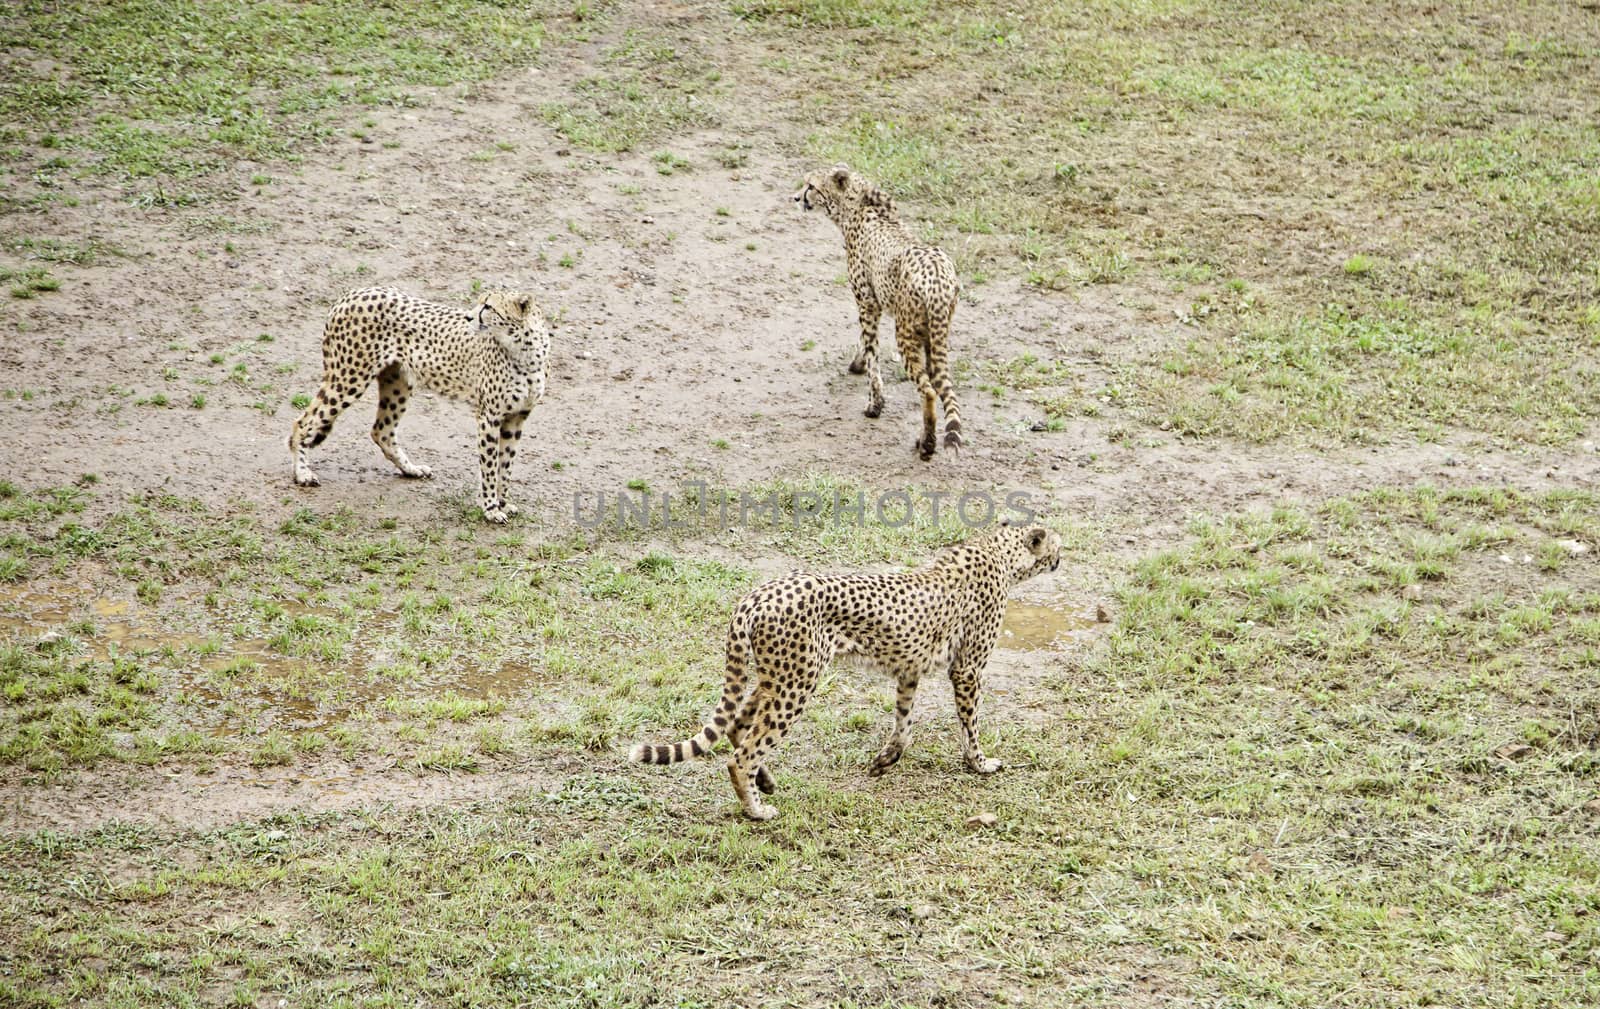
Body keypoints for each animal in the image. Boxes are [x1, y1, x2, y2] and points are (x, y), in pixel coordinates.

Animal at [291, 284, 553, 521]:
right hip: (349, 378)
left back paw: (411, 469)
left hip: (398, 382)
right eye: (481, 303)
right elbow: (490, 467)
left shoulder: (516, 418)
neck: (525, 351)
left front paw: (503, 502)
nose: (469, 317)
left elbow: (505, 465)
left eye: (488, 306)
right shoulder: (489, 416)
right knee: (303, 422)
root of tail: (353, 293)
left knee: (381, 431)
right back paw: (302, 473)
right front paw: (490, 508)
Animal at [627, 521, 1062, 818]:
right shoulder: (968, 669)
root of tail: (757, 594)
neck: (999, 553)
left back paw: (765, 782)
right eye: (1056, 544)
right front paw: (980, 763)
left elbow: (904, 720)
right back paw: (756, 810)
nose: (1062, 557)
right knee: (743, 752)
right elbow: (969, 725)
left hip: (777, 677)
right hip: (796, 683)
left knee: (738, 726)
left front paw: (887, 758)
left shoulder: (909, 667)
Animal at [790, 164, 960, 460]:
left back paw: (927, 445)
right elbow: (866, 346)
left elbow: (872, 351)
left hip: (906, 333)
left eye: (811, 186)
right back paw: (924, 439)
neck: (857, 207)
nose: (797, 197)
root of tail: (938, 278)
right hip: (935, 333)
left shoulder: (867, 302)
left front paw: (874, 404)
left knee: (927, 390)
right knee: (935, 383)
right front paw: (857, 364)